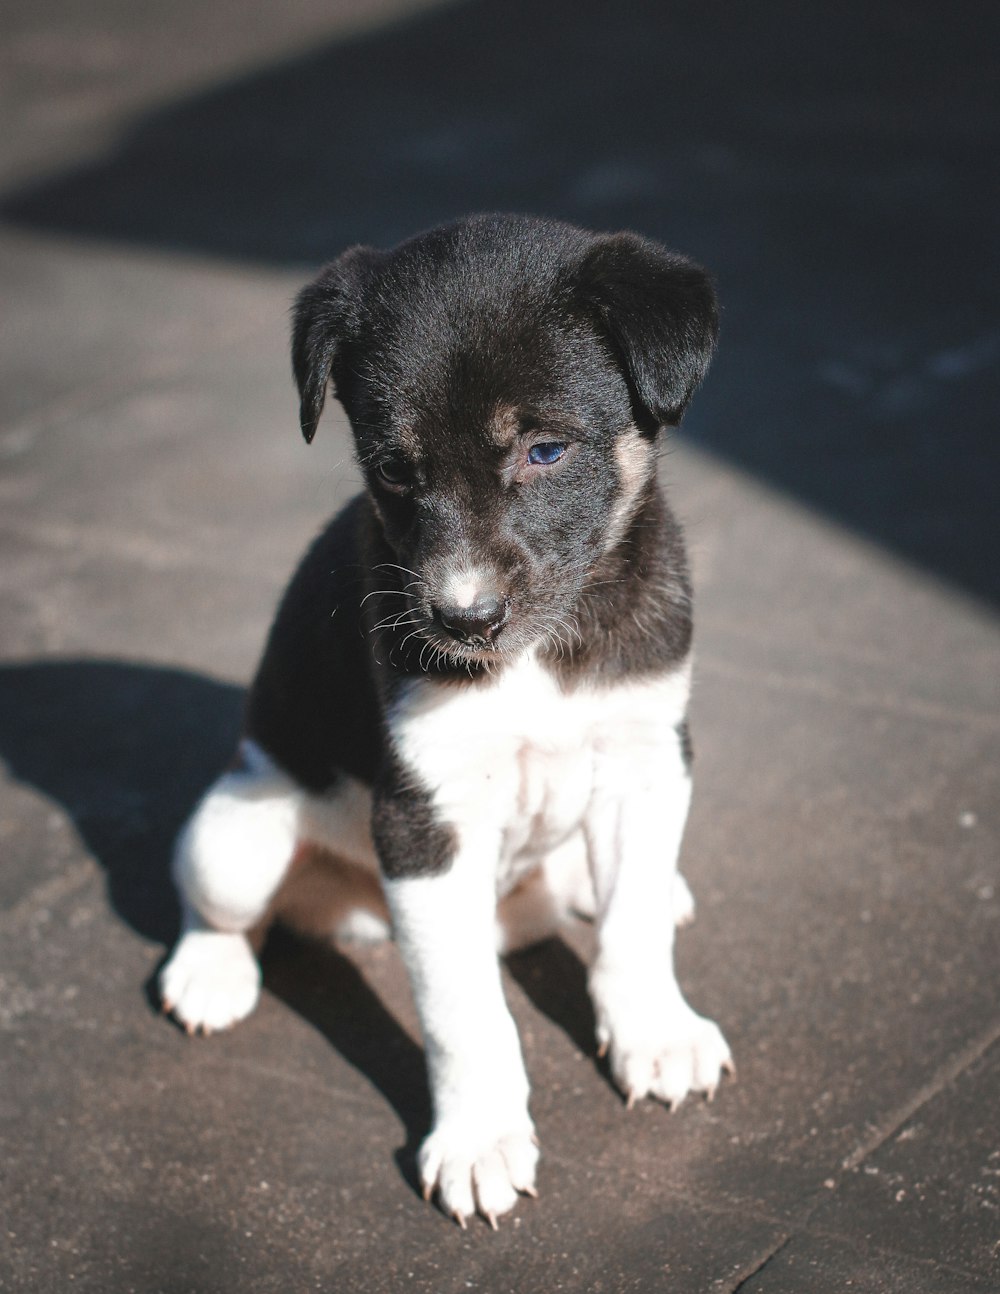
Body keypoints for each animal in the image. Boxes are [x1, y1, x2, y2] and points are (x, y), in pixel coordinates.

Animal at [159, 217, 729, 1226]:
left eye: (546, 451)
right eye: (394, 467)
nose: (461, 622)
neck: (541, 656)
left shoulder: (646, 754)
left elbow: (630, 930)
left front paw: (654, 1034)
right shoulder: (425, 820)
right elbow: (466, 1012)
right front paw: (478, 1141)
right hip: (240, 831)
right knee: (218, 900)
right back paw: (209, 974)